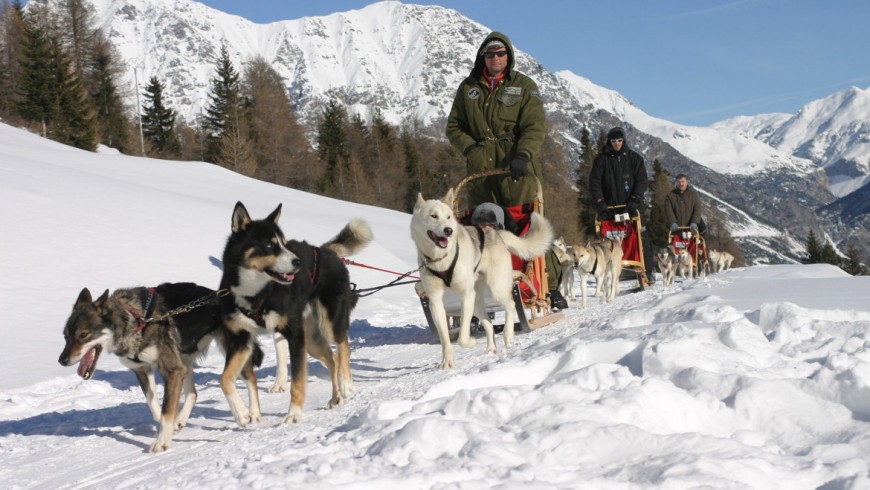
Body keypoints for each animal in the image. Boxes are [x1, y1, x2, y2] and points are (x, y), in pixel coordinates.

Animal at [58, 284, 258, 452]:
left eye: (83, 334)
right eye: (65, 335)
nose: (62, 360)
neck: (135, 321)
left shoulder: (171, 370)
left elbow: (166, 409)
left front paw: (162, 441)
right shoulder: (142, 369)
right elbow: (154, 405)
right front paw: (167, 426)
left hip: (231, 349)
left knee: (248, 378)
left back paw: (250, 414)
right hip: (184, 360)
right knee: (193, 393)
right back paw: (181, 420)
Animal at [218, 201, 372, 426]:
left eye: (284, 244)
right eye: (270, 245)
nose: (298, 263)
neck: (256, 294)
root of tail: (324, 251)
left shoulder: (295, 336)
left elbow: (297, 382)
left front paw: (294, 414)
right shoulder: (241, 340)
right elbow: (225, 378)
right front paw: (242, 413)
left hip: (328, 325)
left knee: (343, 348)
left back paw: (345, 384)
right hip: (312, 341)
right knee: (332, 358)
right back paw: (336, 397)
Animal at [414, 189, 552, 370]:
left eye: (449, 217)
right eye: (433, 216)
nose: (448, 230)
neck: (441, 259)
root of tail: (496, 234)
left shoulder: (466, 295)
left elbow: (462, 338)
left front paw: (470, 342)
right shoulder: (436, 301)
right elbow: (445, 338)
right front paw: (447, 362)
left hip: (496, 289)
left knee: (511, 305)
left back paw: (508, 335)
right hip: (477, 303)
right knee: (488, 323)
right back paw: (491, 347)